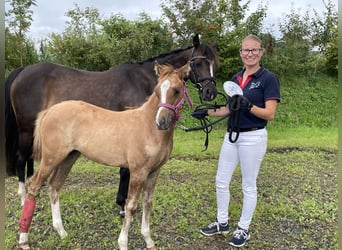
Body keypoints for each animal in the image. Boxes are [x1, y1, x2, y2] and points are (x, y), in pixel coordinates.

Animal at [5, 34, 219, 212]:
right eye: (198, 63)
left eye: (214, 64)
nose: (210, 93)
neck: (142, 80)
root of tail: (23, 70)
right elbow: (125, 172)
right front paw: (123, 205)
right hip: (26, 129)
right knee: (21, 158)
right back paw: (24, 200)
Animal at [18, 61, 191, 249]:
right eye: (157, 90)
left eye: (177, 90)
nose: (161, 122)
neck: (147, 127)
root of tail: (48, 111)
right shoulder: (138, 172)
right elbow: (131, 206)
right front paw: (123, 243)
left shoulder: (154, 172)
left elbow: (148, 203)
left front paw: (149, 241)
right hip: (51, 158)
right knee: (34, 185)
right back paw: (24, 239)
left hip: (69, 157)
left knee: (54, 186)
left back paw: (62, 232)